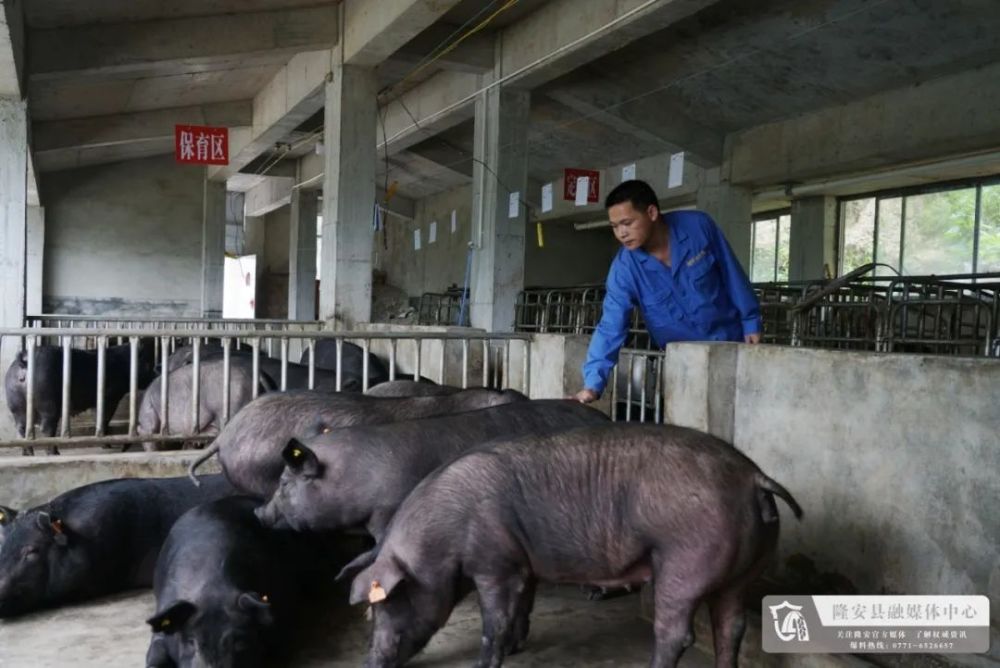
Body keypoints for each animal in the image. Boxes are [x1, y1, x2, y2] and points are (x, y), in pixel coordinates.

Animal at [352, 426, 804, 664]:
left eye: (388, 603)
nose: (371, 660)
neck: (442, 537)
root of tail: (753, 477)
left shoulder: (495, 563)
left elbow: (494, 622)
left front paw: (491, 659)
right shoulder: (523, 564)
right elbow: (522, 606)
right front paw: (517, 647)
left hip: (686, 560)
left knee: (676, 632)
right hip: (745, 570)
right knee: (732, 626)